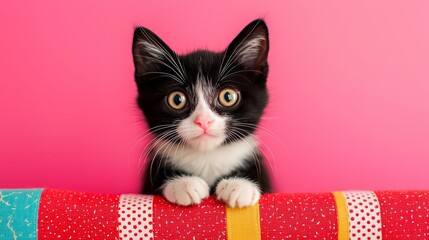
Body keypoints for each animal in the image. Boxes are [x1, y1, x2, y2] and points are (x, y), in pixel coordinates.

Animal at [132, 19, 270, 208]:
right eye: (177, 99)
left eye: (228, 96)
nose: (203, 121)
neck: (207, 157)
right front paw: (184, 183)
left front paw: (240, 184)